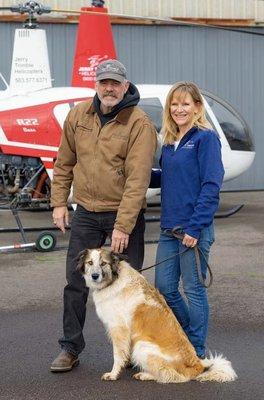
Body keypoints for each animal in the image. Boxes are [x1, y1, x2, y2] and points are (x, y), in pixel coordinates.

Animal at [76, 248, 237, 382]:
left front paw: (114, 374)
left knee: (172, 376)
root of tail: (197, 366)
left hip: (142, 346)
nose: (94, 276)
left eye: (103, 263)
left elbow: (117, 355)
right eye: (90, 262)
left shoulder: (119, 329)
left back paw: (145, 375)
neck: (114, 280)